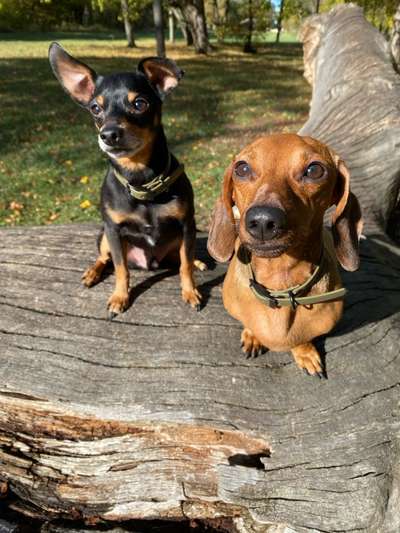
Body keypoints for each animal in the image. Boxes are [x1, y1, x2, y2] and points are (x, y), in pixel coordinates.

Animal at [49, 43, 205, 316]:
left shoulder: (187, 224)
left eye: (140, 103)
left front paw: (190, 291)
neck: (141, 180)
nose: (108, 134)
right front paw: (119, 297)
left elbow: (185, 264)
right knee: (105, 258)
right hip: (103, 236)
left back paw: (197, 261)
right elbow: (121, 268)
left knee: (180, 258)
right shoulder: (113, 229)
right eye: (95, 109)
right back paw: (92, 273)